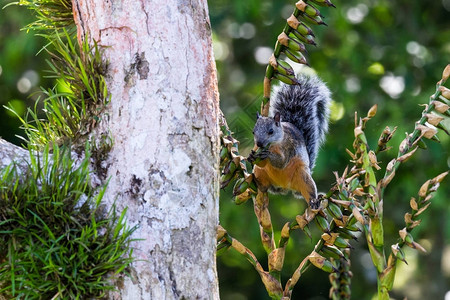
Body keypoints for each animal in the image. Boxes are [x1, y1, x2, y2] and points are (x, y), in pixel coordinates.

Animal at [250, 73, 330, 209]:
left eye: (271, 131)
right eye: (253, 132)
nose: (259, 143)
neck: (273, 144)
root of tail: (283, 187)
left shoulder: (289, 147)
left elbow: (282, 162)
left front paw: (268, 155)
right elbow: (261, 162)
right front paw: (251, 156)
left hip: (302, 175)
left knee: (308, 190)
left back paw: (314, 202)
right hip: (260, 173)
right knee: (264, 186)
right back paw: (257, 183)